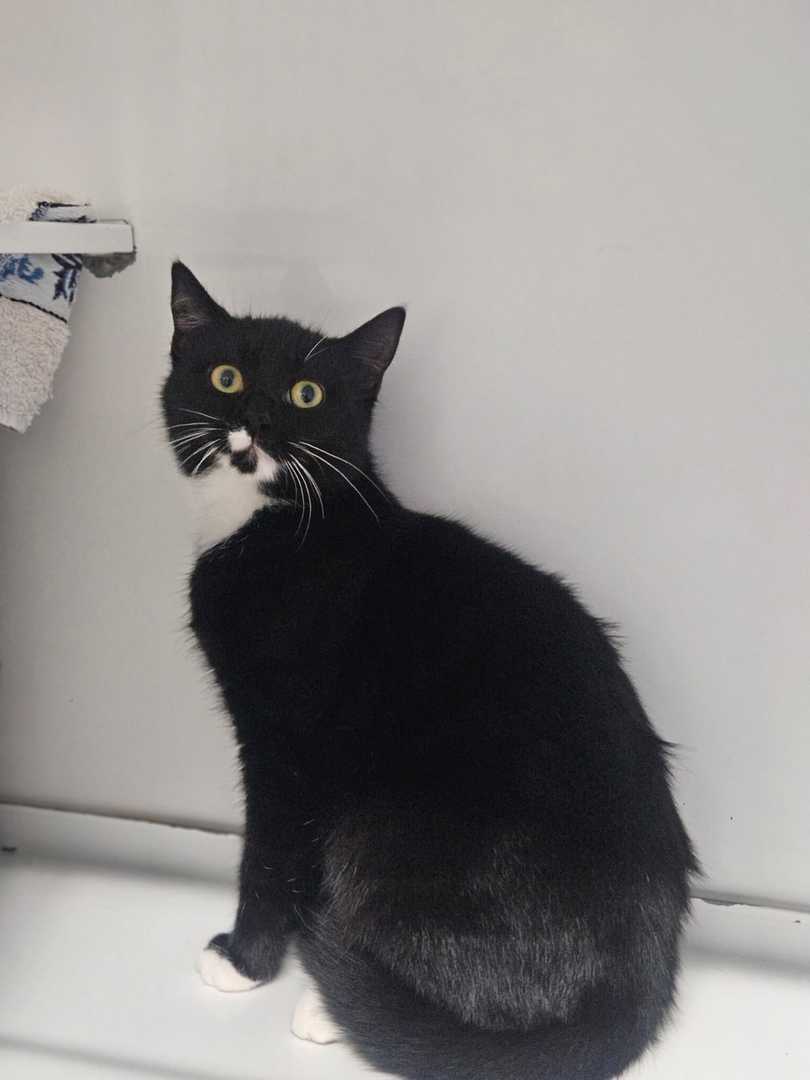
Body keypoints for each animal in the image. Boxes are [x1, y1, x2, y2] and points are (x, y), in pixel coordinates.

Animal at [162, 261, 698, 1080]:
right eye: (226, 376)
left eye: (307, 394)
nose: (257, 418)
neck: (272, 521)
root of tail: (643, 968)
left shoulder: (287, 743)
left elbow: (271, 852)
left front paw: (247, 961)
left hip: (383, 825)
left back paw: (342, 1007)